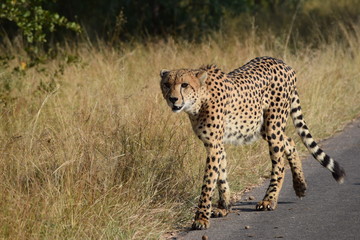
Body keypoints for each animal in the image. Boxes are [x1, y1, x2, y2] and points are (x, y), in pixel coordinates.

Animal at [159, 56, 344, 231]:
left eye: (184, 85)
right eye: (167, 84)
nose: (173, 99)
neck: (200, 99)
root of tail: (282, 63)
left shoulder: (214, 146)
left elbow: (208, 182)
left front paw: (201, 218)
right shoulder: (216, 145)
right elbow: (221, 176)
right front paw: (224, 207)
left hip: (273, 125)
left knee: (279, 162)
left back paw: (269, 200)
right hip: (261, 126)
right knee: (290, 141)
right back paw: (300, 185)